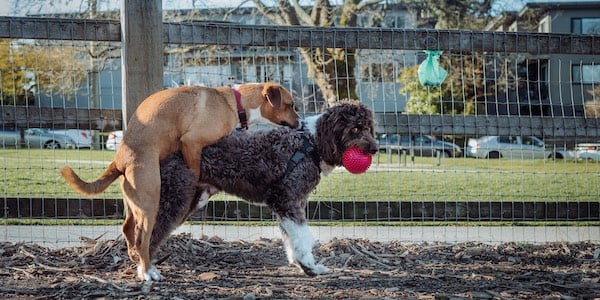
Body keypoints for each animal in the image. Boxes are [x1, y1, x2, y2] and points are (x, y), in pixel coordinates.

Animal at [59, 82, 298, 282]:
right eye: (290, 105)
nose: (299, 122)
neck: (234, 103)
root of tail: (119, 160)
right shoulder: (191, 143)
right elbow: (196, 171)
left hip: (135, 203)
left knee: (127, 228)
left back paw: (136, 259)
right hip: (150, 202)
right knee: (142, 239)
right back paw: (148, 272)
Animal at [151, 102, 376, 278]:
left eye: (368, 127)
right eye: (355, 129)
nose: (375, 149)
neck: (312, 143)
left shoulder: (290, 204)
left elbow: (291, 237)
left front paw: (298, 264)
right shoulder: (286, 200)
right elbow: (302, 237)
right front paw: (309, 267)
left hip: (190, 198)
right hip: (174, 196)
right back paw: (148, 272)